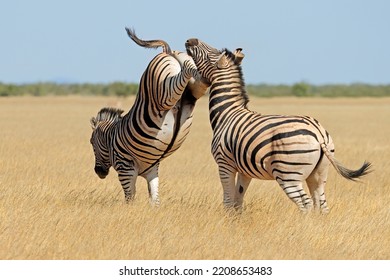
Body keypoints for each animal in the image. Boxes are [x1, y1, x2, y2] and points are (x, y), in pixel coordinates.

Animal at [89, 29, 209, 205]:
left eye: (91, 142)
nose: (98, 172)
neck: (110, 139)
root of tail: (167, 51)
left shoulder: (125, 168)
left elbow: (130, 198)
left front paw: (130, 210)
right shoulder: (153, 169)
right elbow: (154, 198)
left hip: (162, 94)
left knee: (180, 79)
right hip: (191, 84)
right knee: (197, 79)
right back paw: (209, 72)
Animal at [186, 38, 372, 213]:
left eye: (210, 53)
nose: (190, 40)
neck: (227, 113)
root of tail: (318, 133)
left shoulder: (224, 163)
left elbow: (227, 200)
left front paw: (226, 220)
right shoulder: (244, 171)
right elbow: (238, 201)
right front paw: (235, 221)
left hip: (288, 174)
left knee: (306, 203)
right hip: (319, 173)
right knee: (321, 204)